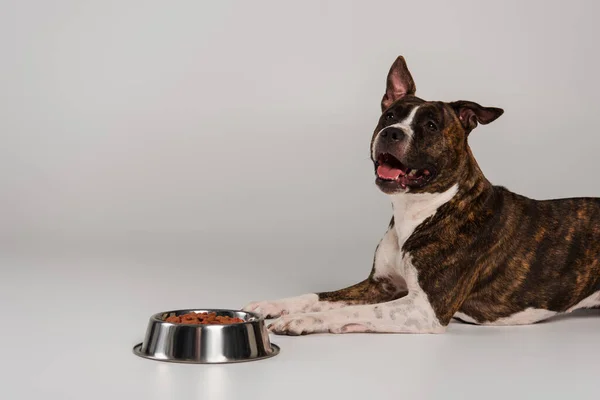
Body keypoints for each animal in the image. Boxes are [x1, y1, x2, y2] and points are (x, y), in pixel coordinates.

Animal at [241, 54, 596, 334]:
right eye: (389, 115)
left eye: (431, 126)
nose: (391, 132)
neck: (418, 210)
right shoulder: (380, 284)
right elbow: (319, 296)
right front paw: (275, 304)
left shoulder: (424, 308)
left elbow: (356, 310)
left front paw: (303, 320)